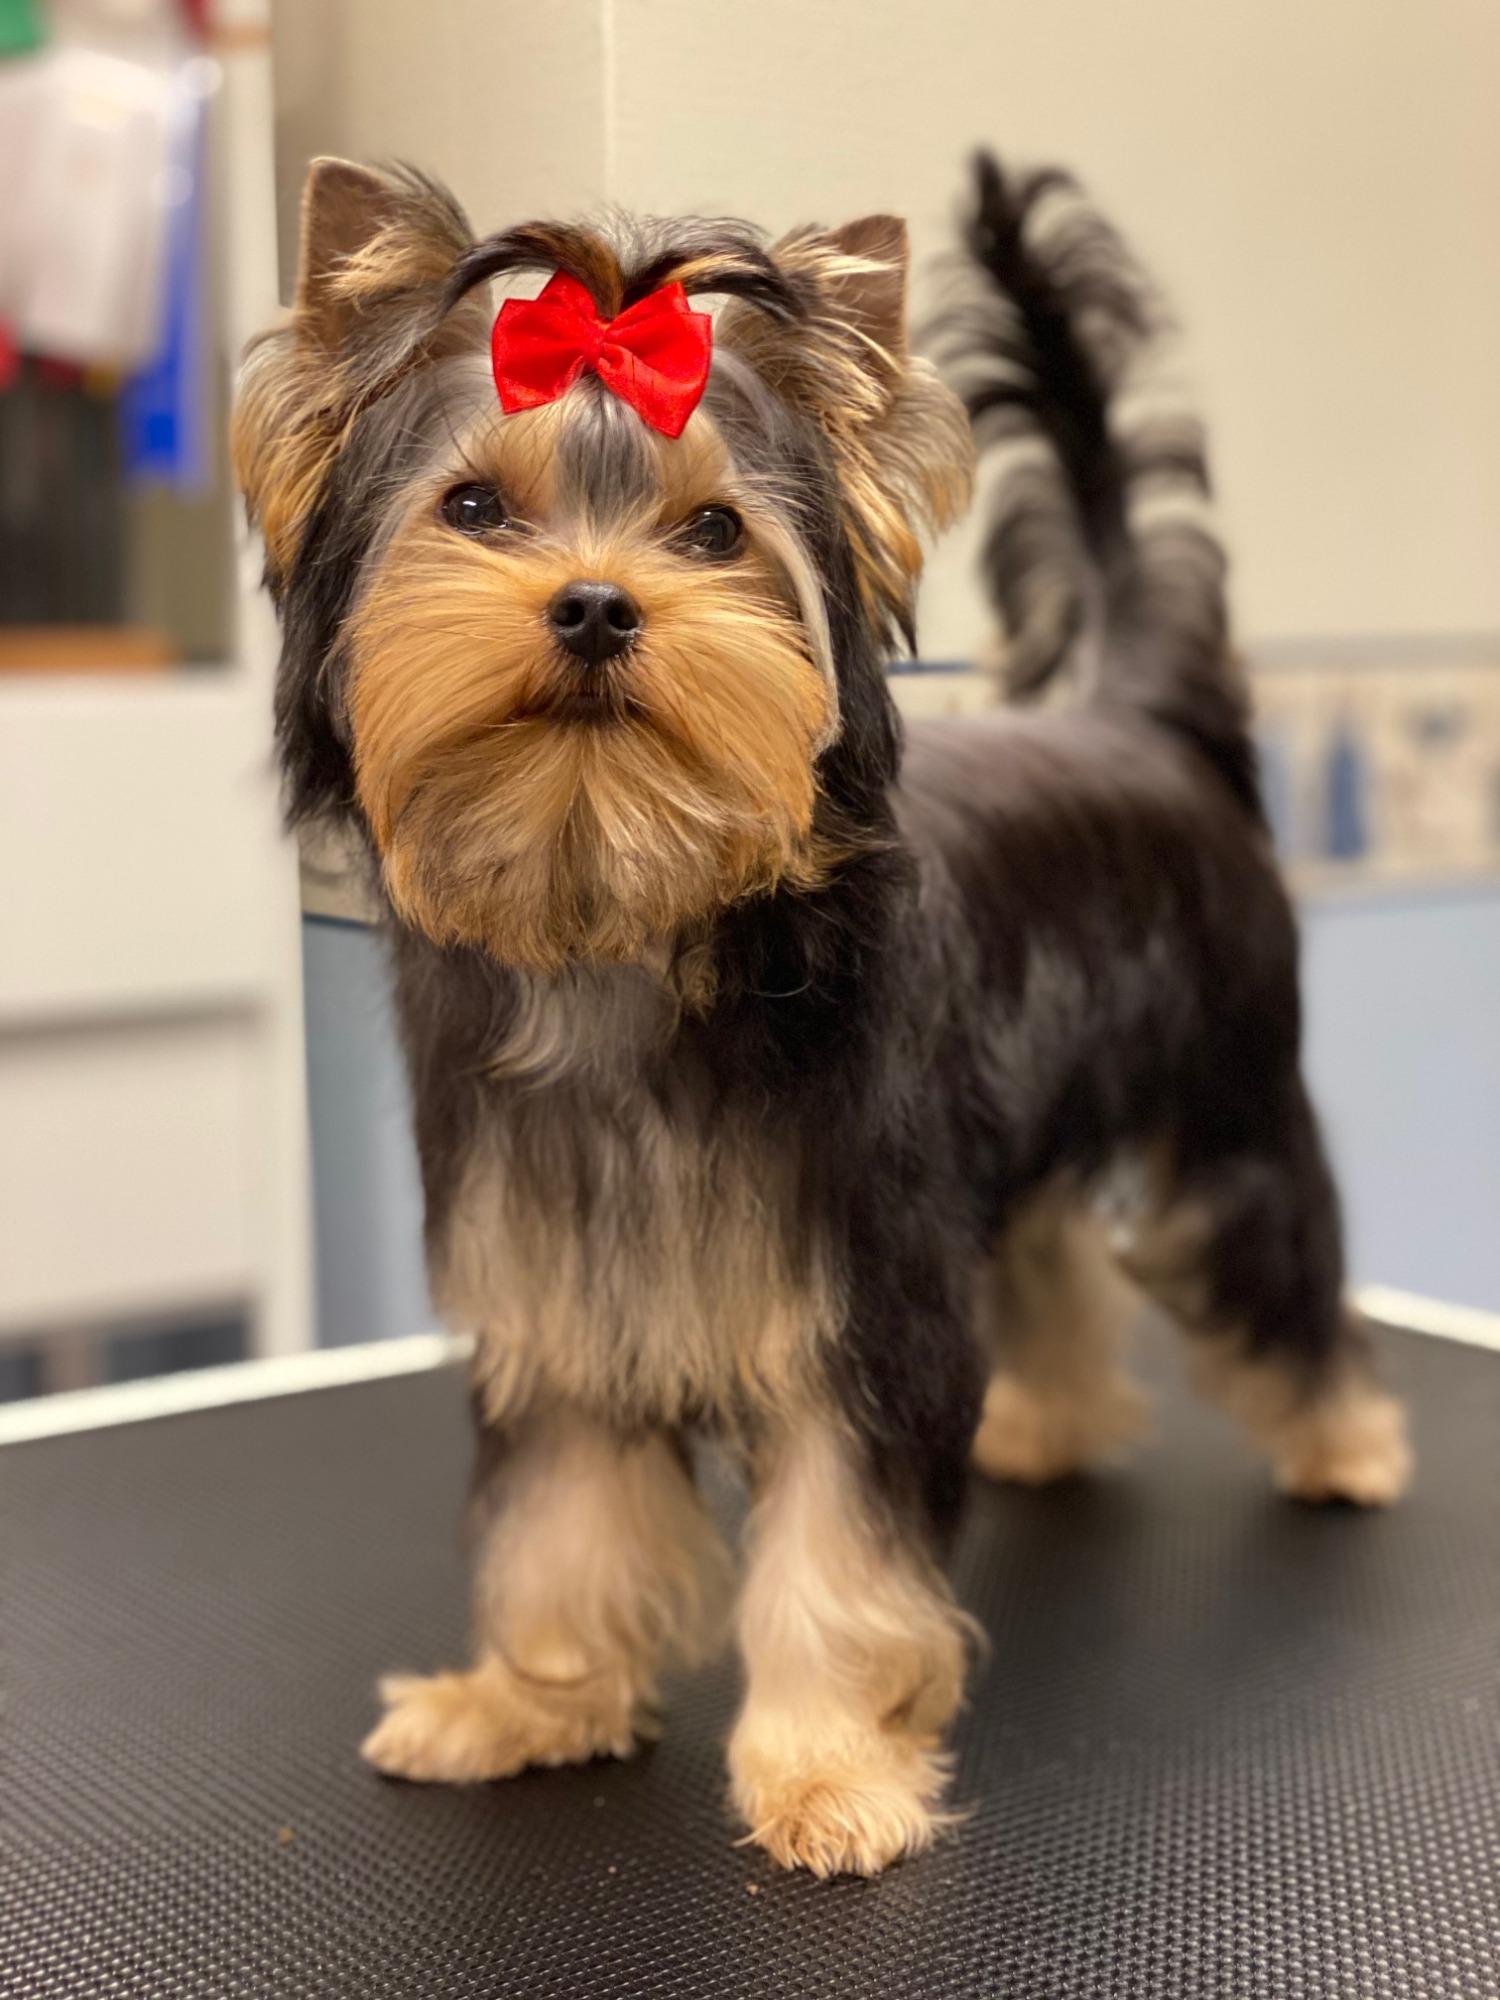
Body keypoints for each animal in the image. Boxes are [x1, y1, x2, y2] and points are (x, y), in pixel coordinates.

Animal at [232, 151, 1411, 1879]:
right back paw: (1055, 1421)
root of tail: (1136, 724)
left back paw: (1346, 1443)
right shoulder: (565, 1289)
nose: (596, 608)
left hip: (1228, 1094)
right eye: (473, 508)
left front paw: (829, 1772)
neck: (631, 925)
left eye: (716, 529)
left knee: (1266, 1253)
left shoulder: (861, 1299)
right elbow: (561, 1520)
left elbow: (842, 1553)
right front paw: (529, 1701)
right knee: (1048, 1244)